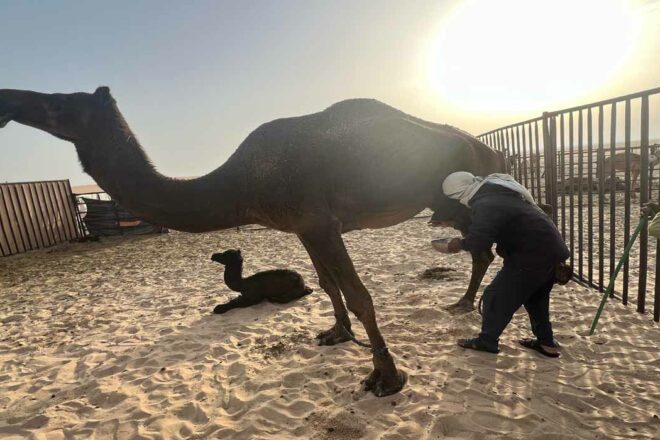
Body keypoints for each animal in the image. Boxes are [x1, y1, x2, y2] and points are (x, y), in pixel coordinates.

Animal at [0, 87, 505, 396]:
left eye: (60, 103)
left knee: (488, 246)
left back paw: (469, 307)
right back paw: (462, 303)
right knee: (482, 249)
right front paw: (336, 335)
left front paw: (386, 378)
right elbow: (328, 285)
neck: (241, 183)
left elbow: (361, 296)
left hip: (465, 194)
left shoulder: (318, 221)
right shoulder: (306, 227)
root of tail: (489, 148)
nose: (8, 99)